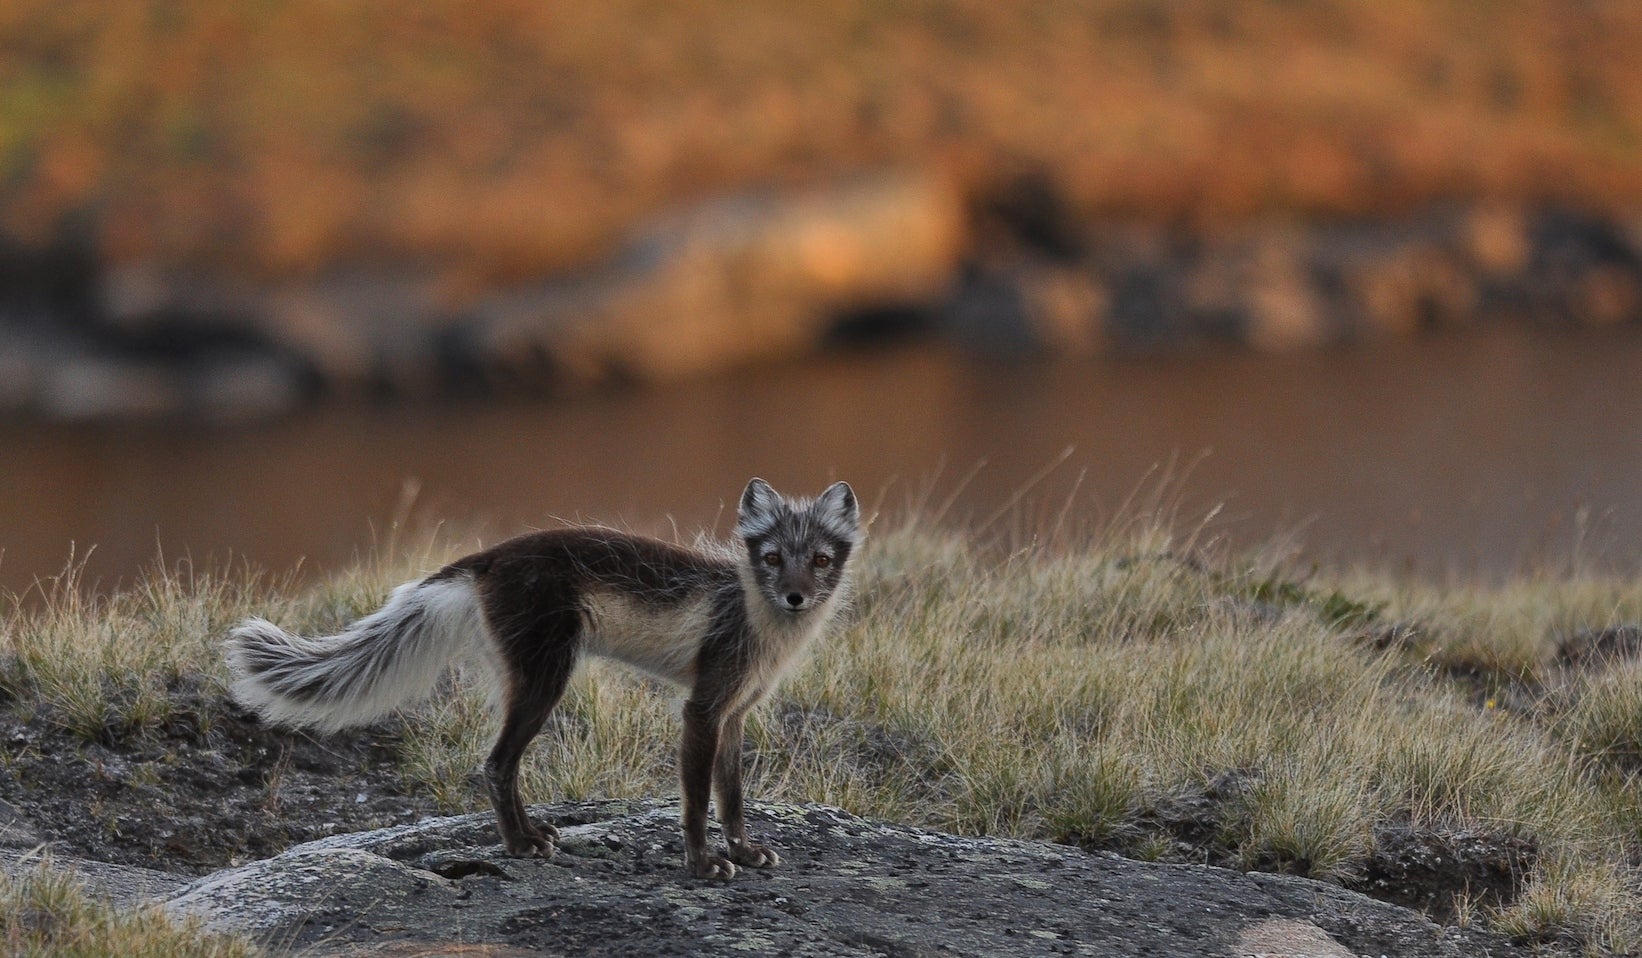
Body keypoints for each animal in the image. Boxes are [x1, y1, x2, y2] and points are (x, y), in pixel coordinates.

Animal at [224, 478, 861, 879]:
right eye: (773, 557)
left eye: (820, 560)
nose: (795, 597)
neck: (755, 618)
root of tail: (485, 557)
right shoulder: (701, 709)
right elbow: (698, 802)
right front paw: (703, 865)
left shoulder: (735, 711)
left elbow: (732, 798)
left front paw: (746, 852)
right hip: (545, 682)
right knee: (495, 763)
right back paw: (519, 845)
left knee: (502, 766)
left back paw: (536, 836)